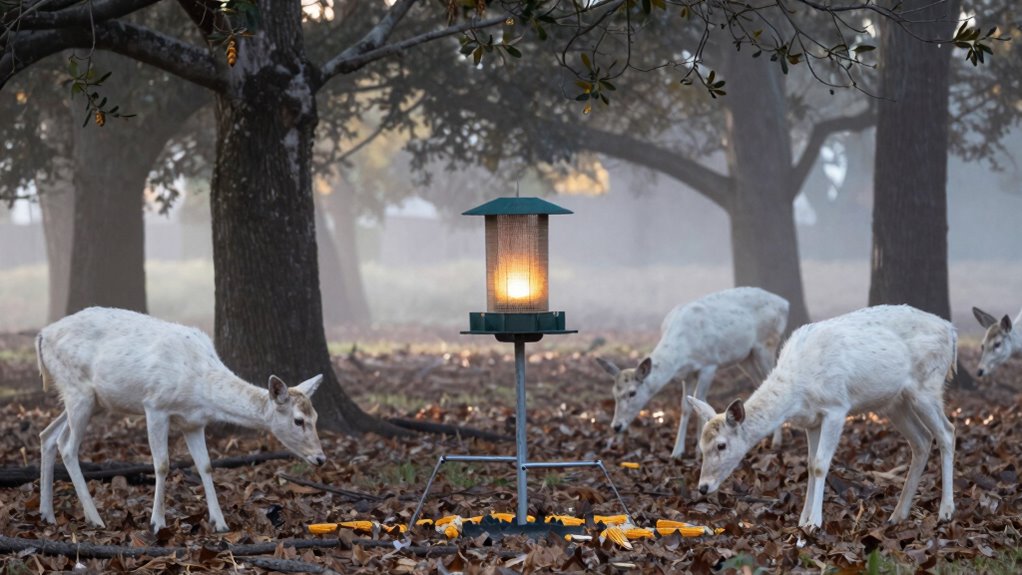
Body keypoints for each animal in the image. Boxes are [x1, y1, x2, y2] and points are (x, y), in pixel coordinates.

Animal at [36, 307, 327, 533]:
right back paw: (95, 519)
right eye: (298, 420)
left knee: (48, 434)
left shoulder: (193, 422)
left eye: (316, 416)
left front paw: (220, 523)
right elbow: (162, 464)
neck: (199, 389)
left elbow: (205, 465)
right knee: (67, 446)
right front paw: (157, 523)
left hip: (93, 399)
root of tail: (42, 335)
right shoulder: (155, 406)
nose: (321, 458)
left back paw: (47, 514)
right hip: (78, 391)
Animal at [595, 286, 788, 458]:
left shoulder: (709, 364)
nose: (616, 426)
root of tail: (784, 303)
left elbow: (700, 399)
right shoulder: (687, 374)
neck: (683, 351)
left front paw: (697, 450)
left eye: (632, 392)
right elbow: (686, 406)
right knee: (760, 383)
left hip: (766, 344)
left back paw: (776, 441)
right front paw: (677, 452)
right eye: (614, 393)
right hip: (746, 357)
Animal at [687, 304, 957, 530]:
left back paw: (945, 511)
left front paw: (814, 522)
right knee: (922, 440)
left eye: (721, 445)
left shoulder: (836, 407)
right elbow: (809, 463)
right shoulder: (812, 420)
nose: (703, 487)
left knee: (947, 432)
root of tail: (951, 331)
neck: (798, 389)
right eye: (700, 444)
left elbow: (820, 464)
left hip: (927, 386)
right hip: (894, 403)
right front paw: (802, 519)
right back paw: (898, 515)